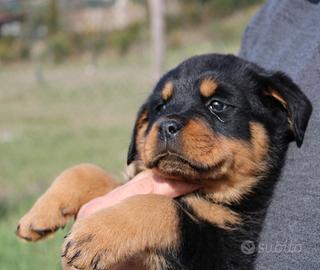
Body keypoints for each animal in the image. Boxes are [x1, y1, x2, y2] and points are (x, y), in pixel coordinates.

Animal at [16, 53, 312, 268]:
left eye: (217, 105)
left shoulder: (230, 247)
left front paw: (93, 235)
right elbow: (87, 170)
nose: (166, 125)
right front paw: (39, 214)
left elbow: (162, 207)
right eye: (161, 106)